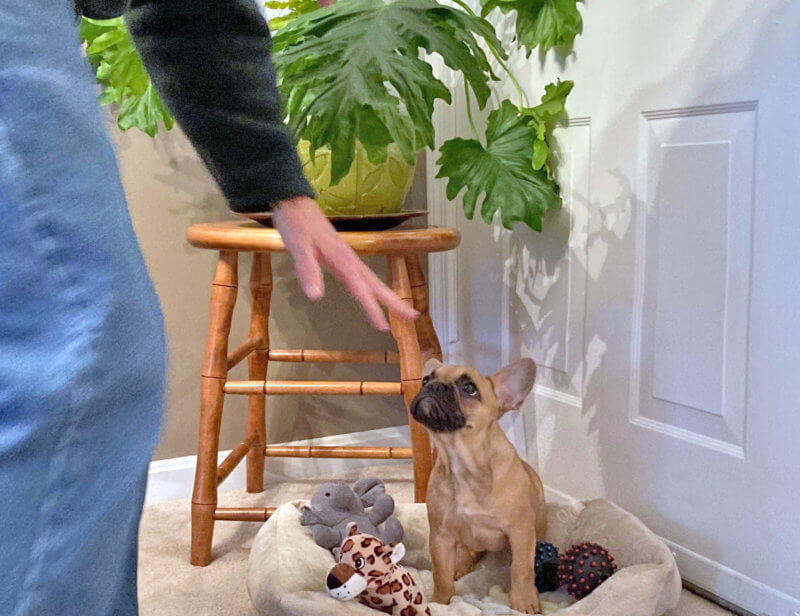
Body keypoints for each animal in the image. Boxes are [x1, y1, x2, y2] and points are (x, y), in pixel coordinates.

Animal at [412, 358, 544, 612]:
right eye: (425, 379)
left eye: (469, 389)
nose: (434, 386)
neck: (461, 462)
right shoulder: (441, 536)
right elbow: (440, 575)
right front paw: (440, 603)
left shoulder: (520, 530)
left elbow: (521, 568)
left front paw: (523, 602)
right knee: (466, 552)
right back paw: (462, 564)